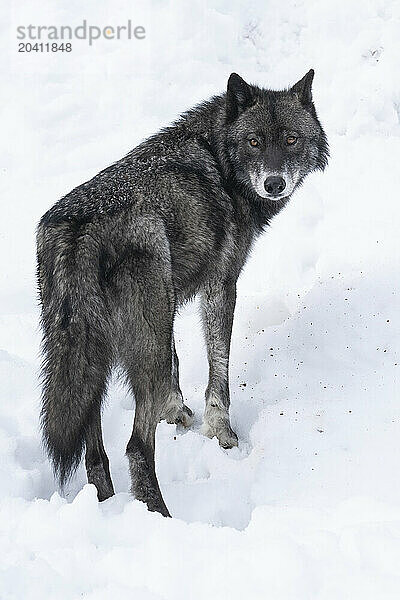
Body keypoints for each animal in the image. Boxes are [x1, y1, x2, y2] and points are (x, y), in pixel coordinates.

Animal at [36, 69, 328, 516]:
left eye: (291, 139)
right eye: (254, 141)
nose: (274, 183)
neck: (220, 156)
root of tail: (80, 228)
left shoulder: (169, 307)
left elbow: (178, 366)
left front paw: (175, 413)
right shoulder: (221, 284)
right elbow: (218, 370)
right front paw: (222, 433)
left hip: (93, 359)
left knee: (94, 452)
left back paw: (107, 505)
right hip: (139, 349)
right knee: (136, 447)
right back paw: (159, 515)